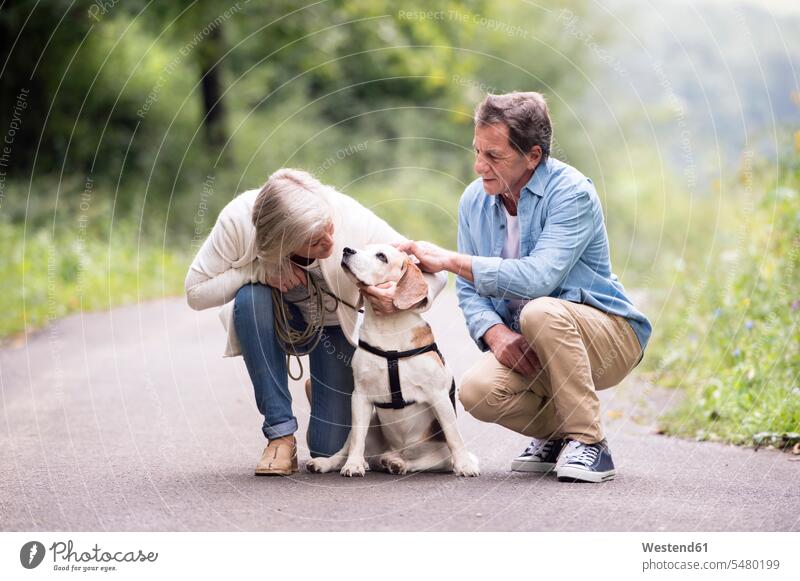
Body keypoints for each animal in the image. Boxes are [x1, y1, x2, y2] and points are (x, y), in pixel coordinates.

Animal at [306, 244, 482, 476]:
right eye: (363, 248)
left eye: (381, 256)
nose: (347, 250)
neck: (387, 328)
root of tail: (393, 450)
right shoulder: (360, 395)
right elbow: (357, 440)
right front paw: (353, 465)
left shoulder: (439, 396)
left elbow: (454, 437)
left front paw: (465, 465)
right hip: (370, 423)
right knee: (345, 449)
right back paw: (330, 462)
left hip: (438, 456)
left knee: (418, 462)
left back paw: (397, 463)